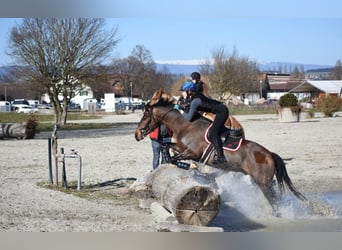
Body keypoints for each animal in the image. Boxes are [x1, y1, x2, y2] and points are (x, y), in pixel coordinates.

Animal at [135, 89, 306, 206]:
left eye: (145, 115)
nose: (137, 134)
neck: (185, 125)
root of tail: (270, 154)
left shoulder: (193, 153)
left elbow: (174, 157)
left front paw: (185, 166)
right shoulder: (181, 147)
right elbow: (167, 147)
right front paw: (176, 162)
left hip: (263, 184)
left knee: (275, 203)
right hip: (265, 182)